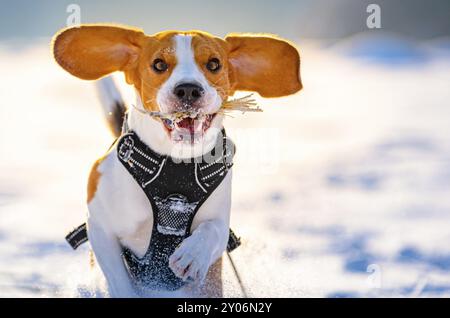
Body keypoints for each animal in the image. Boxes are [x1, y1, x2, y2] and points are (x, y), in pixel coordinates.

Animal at [51, 24, 302, 298]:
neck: (175, 162)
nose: (188, 89)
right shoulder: (100, 226)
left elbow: (213, 230)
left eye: (214, 64)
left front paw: (193, 254)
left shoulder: (220, 219)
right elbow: (119, 278)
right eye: (159, 64)